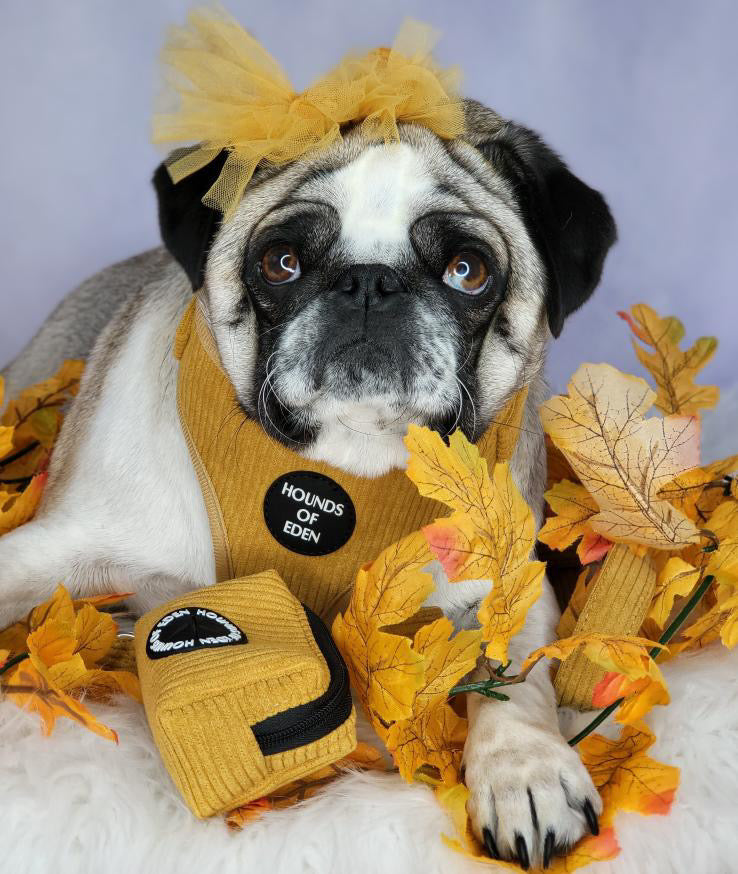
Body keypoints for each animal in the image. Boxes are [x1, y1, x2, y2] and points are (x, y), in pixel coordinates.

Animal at [1, 100, 616, 864]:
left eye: (468, 271)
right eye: (282, 262)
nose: (370, 283)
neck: (339, 469)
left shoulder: (516, 583)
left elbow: (516, 679)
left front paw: (526, 772)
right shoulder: (52, 547)